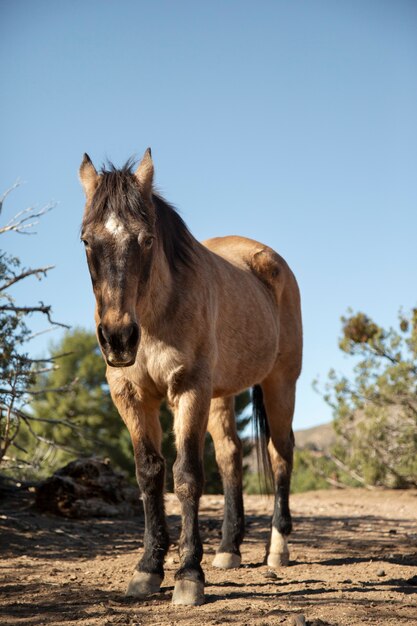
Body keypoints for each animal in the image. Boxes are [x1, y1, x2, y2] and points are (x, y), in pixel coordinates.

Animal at [78, 149, 300, 604]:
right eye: (87, 240)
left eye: (146, 239)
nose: (118, 338)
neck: (154, 317)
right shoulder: (130, 395)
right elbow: (150, 475)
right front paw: (148, 568)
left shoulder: (189, 390)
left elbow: (186, 477)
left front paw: (188, 575)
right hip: (222, 395)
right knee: (231, 455)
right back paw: (229, 549)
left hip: (280, 383)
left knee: (280, 454)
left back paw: (277, 548)